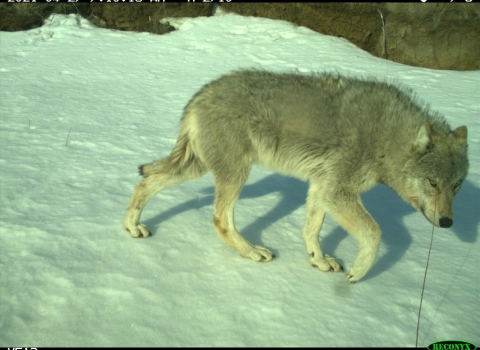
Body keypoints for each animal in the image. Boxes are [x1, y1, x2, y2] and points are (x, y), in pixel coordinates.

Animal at [124, 69, 468, 284]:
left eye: (456, 186)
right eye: (433, 183)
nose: (448, 223)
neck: (387, 139)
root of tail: (199, 95)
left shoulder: (322, 186)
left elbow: (310, 231)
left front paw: (319, 261)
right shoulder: (337, 192)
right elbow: (374, 233)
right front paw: (358, 272)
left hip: (199, 168)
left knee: (146, 181)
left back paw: (132, 227)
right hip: (236, 174)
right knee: (221, 219)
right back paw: (252, 251)